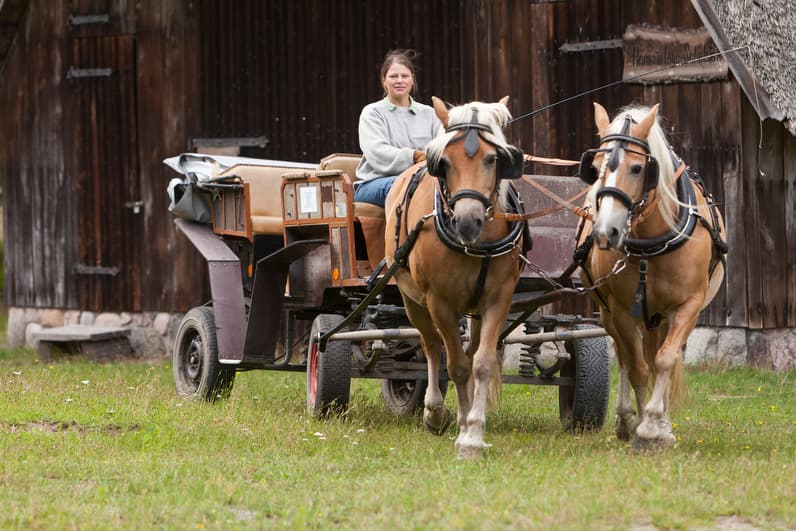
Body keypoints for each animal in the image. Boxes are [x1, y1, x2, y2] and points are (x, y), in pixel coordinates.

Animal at [384, 96, 527, 459]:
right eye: (445, 162)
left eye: (493, 159)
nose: (467, 221)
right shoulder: (440, 302)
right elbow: (456, 364)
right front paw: (463, 430)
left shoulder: (499, 297)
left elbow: (481, 362)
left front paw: (474, 431)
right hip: (412, 300)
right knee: (431, 345)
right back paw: (434, 411)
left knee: (470, 350)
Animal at [576, 102, 727, 449]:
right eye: (595, 167)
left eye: (636, 168)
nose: (605, 233)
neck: (651, 243)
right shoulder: (620, 310)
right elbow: (637, 368)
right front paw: (641, 425)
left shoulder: (688, 306)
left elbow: (665, 361)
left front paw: (656, 426)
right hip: (611, 313)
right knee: (622, 355)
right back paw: (626, 418)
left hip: (661, 317)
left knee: (660, 357)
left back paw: (662, 425)